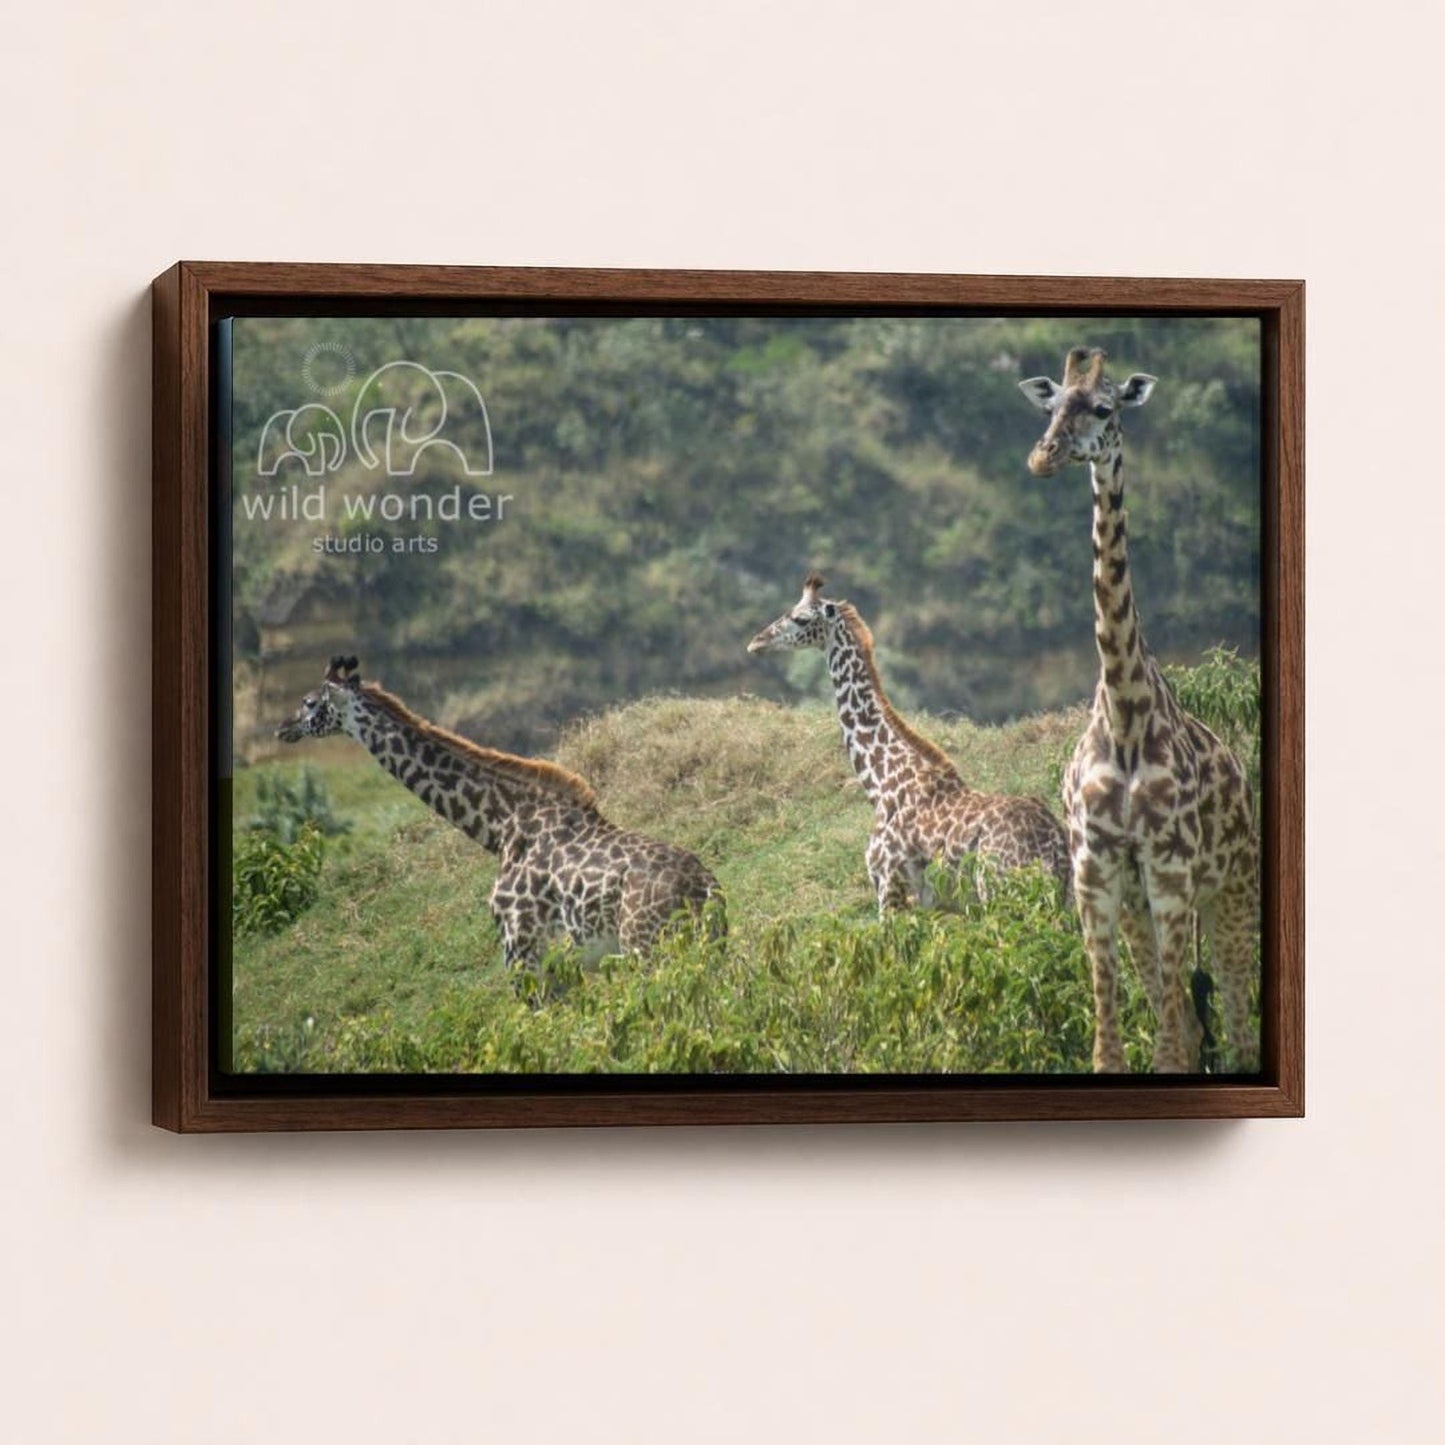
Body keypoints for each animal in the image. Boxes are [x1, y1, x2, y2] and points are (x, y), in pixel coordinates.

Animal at [275, 656, 722, 968]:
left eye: (309, 702)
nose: (282, 728)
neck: (501, 825)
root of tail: (704, 891)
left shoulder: (521, 949)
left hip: (646, 949)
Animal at [748, 574, 1070, 913]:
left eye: (800, 618)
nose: (756, 642)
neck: (882, 781)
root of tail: (1055, 847)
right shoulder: (932, 904)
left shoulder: (889, 885)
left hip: (998, 891)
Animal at [1019, 347, 1259, 1073]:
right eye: (1050, 405)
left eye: (1103, 408)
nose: (1042, 457)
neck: (1124, 713)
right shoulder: (1096, 872)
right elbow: (1113, 1037)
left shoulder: (1170, 872)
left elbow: (1174, 1041)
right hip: (1144, 903)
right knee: (1187, 1013)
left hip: (1231, 889)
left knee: (1232, 1016)